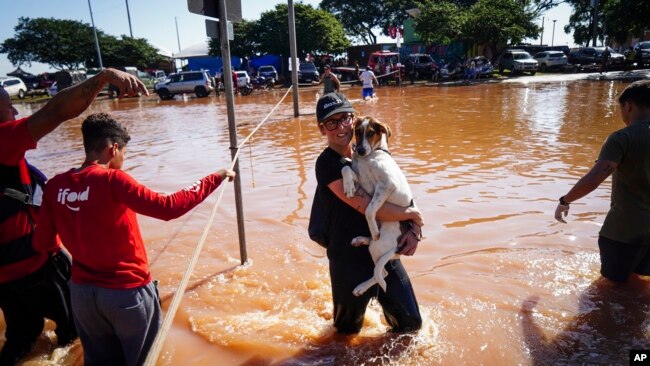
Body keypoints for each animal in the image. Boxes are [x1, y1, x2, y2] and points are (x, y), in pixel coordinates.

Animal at [342, 117, 412, 298]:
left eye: (371, 133)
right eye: (358, 131)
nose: (359, 150)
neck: (370, 156)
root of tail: (397, 248)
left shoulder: (386, 185)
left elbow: (369, 210)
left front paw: (373, 229)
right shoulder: (360, 179)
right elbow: (345, 168)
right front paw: (348, 186)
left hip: (379, 245)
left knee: (382, 274)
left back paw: (361, 286)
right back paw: (361, 239)